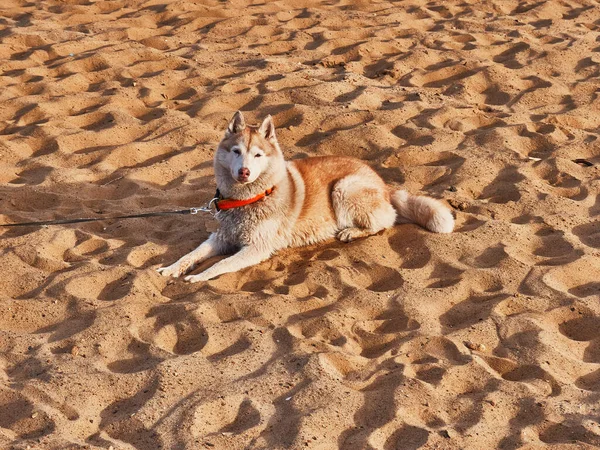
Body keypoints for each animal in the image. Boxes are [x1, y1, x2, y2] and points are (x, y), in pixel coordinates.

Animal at [157, 111, 452, 282]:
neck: (248, 199)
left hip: (344, 187)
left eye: (258, 155)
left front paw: (201, 276)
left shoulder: (256, 248)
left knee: (384, 221)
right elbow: (192, 254)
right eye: (236, 151)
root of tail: (381, 182)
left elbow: (223, 264)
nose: (244, 172)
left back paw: (351, 232)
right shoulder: (221, 237)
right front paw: (172, 268)